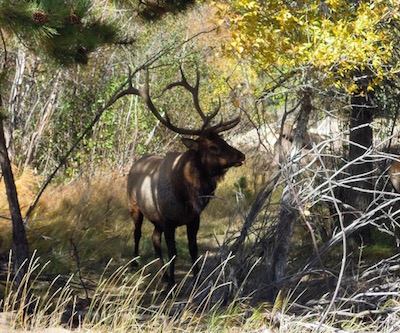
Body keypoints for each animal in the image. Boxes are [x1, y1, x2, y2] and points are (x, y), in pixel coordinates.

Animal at [126, 68, 245, 288]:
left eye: (223, 139)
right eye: (213, 147)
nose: (241, 156)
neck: (186, 193)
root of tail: (136, 163)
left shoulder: (192, 219)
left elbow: (192, 248)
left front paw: (196, 279)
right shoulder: (168, 221)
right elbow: (173, 252)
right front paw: (172, 285)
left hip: (155, 220)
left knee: (154, 239)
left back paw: (163, 274)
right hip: (134, 207)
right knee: (137, 233)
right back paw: (134, 264)